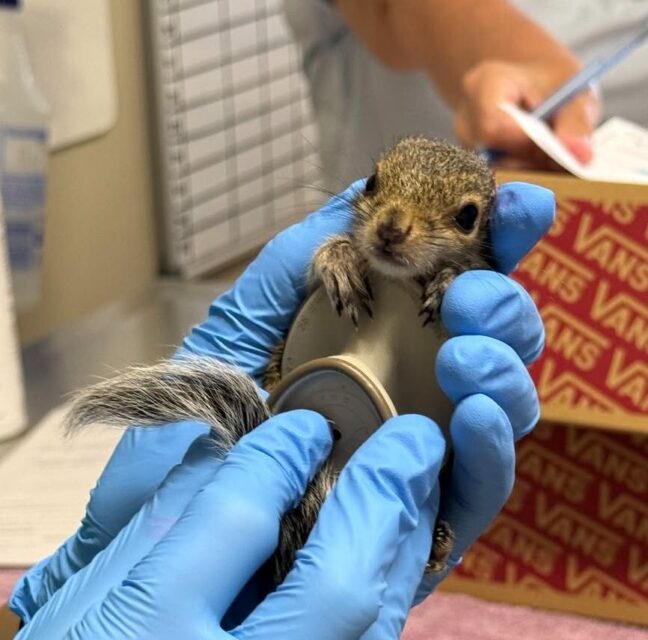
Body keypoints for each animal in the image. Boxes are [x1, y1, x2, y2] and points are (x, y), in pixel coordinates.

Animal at [64, 137, 496, 586]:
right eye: (372, 181)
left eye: (468, 216)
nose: (391, 228)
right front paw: (339, 260)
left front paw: (447, 281)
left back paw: (437, 541)